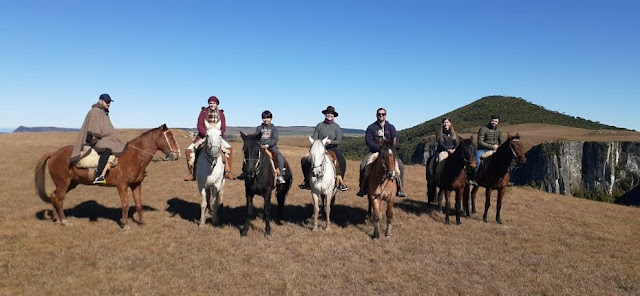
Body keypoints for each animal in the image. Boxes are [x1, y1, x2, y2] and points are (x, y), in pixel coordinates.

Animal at [35, 123, 180, 228]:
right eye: (170, 137)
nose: (177, 154)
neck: (134, 156)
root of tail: (54, 153)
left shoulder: (136, 185)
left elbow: (139, 204)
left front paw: (142, 223)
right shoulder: (122, 186)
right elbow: (125, 204)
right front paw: (125, 225)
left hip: (70, 183)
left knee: (53, 196)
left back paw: (56, 219)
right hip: (63, 183)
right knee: (59, 200)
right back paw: (64, 221)